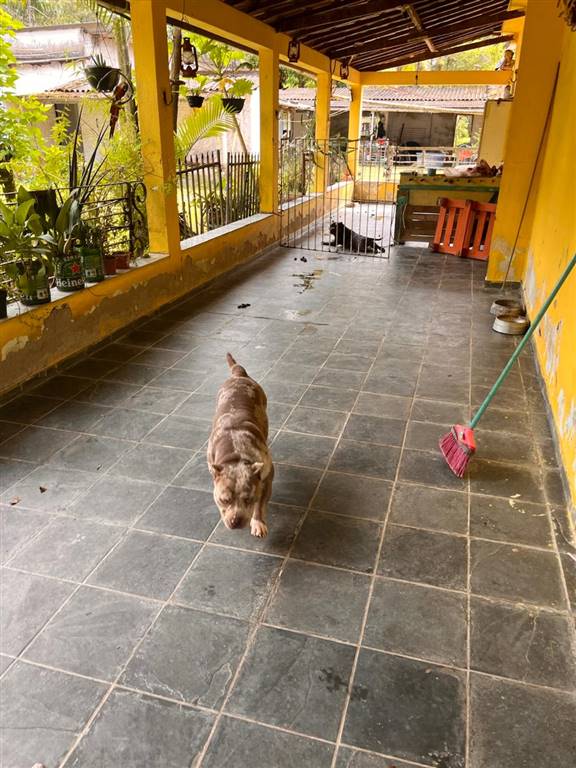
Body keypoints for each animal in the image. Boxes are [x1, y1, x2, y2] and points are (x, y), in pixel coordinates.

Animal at [207, 353, 273, 538]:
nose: (235, 521)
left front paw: (258, 522)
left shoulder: (266, 479)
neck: (235, 454)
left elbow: (260, 504)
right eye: (224, 500)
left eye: (248, 499)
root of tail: (239, 375)